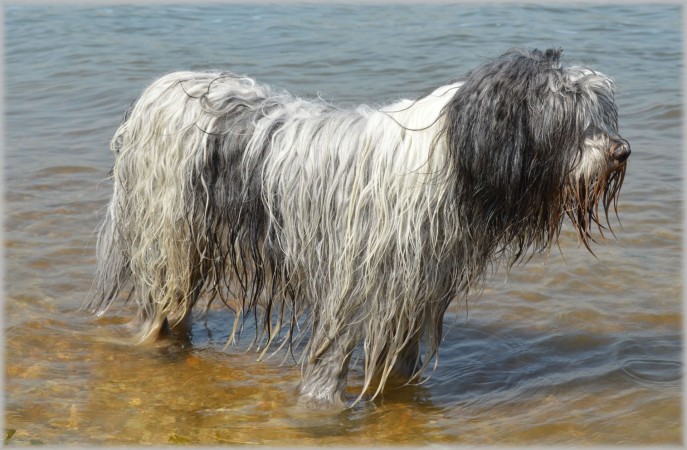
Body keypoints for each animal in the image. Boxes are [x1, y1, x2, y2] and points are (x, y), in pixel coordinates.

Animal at [88, 48, 632, 408]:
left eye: (600, 114)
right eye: (568, 119)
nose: (621, 150)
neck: (451, 156)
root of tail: (159, 90)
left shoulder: (414, 290)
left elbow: (402, 359)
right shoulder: (350, 287)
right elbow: (329, 360)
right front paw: (320, 408)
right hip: (166, 238)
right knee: (159, 308)